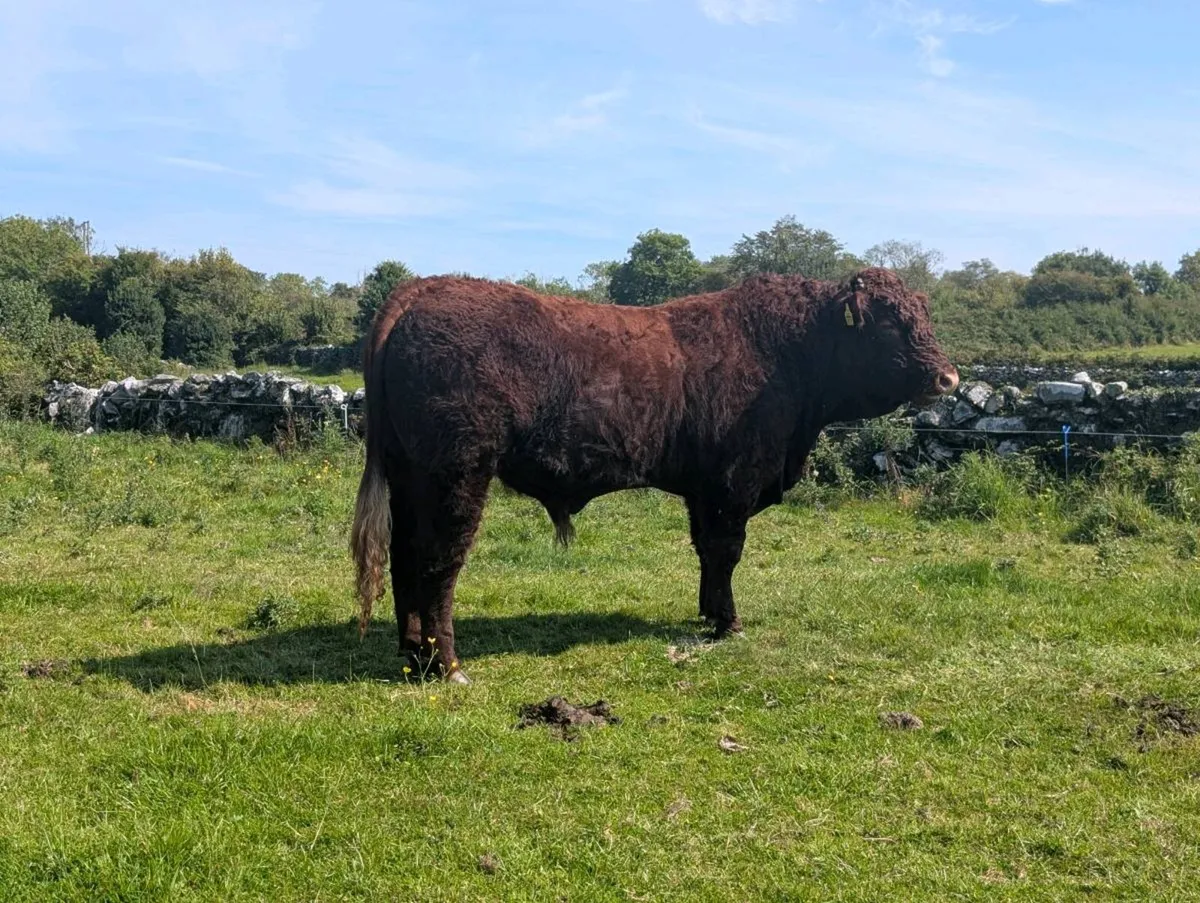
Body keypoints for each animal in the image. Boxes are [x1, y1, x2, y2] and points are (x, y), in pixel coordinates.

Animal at [350, 267, 959, 683]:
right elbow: (727, 551)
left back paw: (412, 653)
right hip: (456, 475)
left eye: (924, 315)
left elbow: (707, 552)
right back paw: (448, 664)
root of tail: (422, 289)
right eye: (888, 324)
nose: (949, 377)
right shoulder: (734, 484)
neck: (785, 350)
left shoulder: (705, 489)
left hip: (409, 476)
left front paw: (708, 612)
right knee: (439, 563)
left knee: (404, 557)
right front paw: (728, 623)